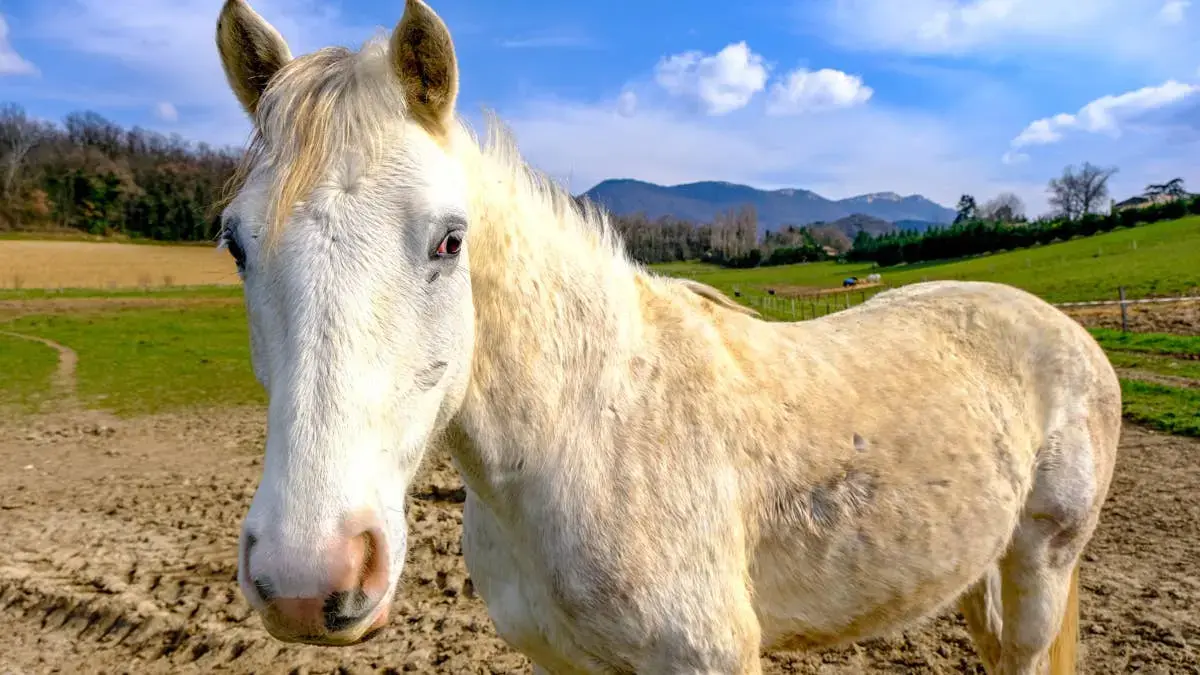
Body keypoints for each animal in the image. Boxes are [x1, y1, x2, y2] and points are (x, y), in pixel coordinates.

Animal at [212, 1, 1121, 673]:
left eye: (448, 240)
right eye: (236, 244)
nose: (306, 578)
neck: (586, 438)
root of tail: (1065, 331)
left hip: (1040, 569)